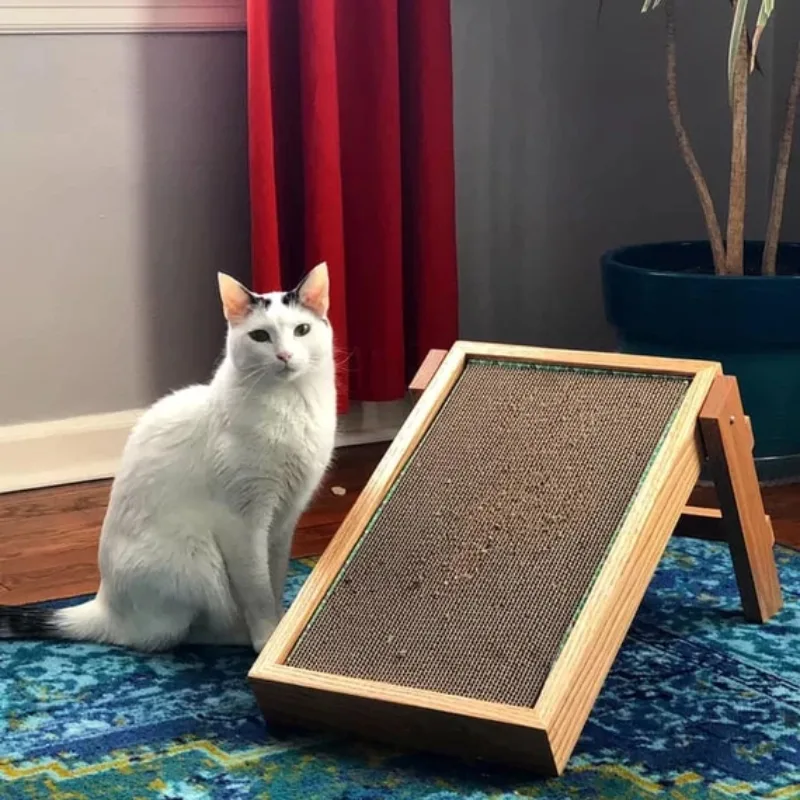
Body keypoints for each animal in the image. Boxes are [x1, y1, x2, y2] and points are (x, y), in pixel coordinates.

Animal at [0, 262, 338, 648]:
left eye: (302, 330)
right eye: (261, 336)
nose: (284, 356)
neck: (292, 404)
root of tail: (104, 605)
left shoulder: (283, 520)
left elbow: (276, 577)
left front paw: (283, 624)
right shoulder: (243, 524)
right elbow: (257, 589)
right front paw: (268, 638)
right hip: (199, 561)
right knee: (174, 635)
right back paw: (234, 634)